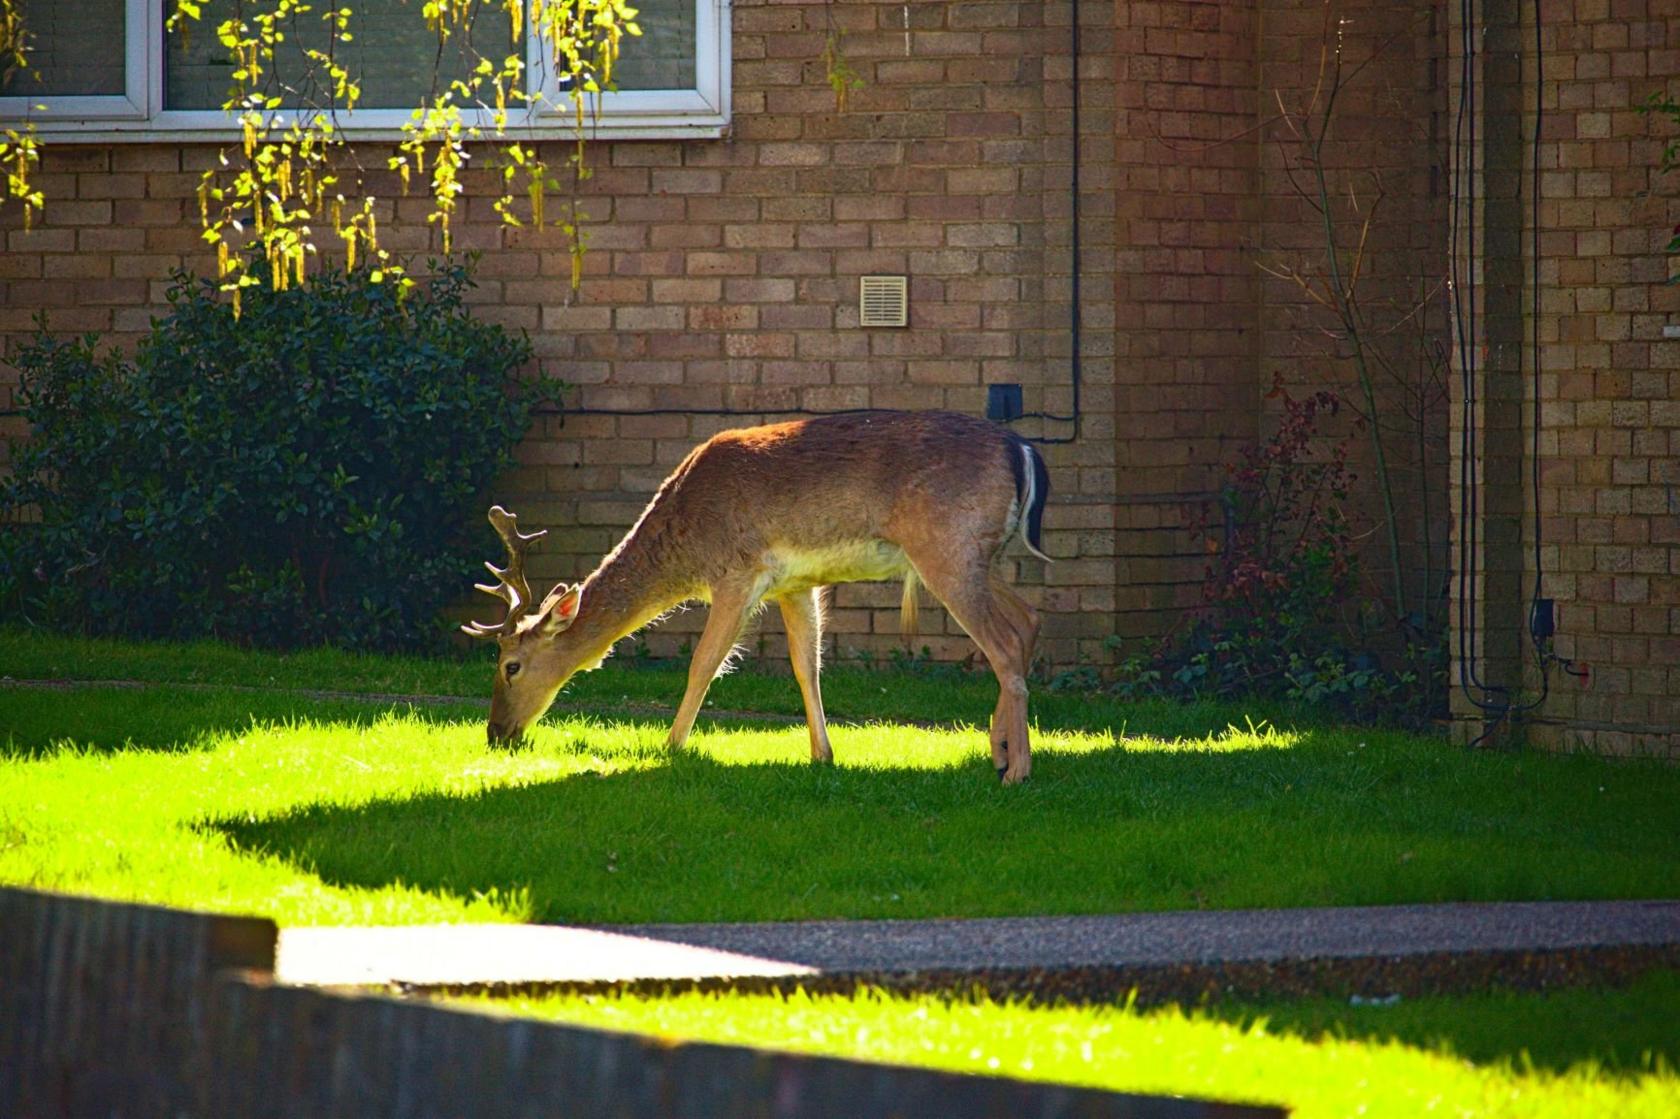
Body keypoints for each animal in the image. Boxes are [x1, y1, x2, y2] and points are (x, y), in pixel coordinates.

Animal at [460, 404, 1048, 779]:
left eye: (510, 665)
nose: (495, 732)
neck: (687, 541)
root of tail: (1021, 449)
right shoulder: (796, 584)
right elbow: (806, 665)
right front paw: (822, 754)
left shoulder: (738, 572)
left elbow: (704, 662)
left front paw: (670, 746)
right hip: (980, 558)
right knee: (1026, 622)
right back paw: (999, 751)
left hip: (947, 549)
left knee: (1002, 644)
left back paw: (1017, 769)